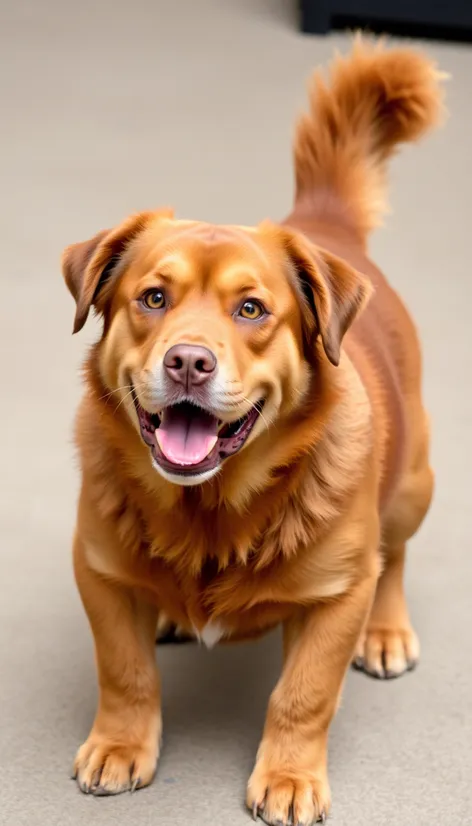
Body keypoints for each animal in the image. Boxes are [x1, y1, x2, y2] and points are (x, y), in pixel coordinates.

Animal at [60, 40, 440, 824]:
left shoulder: (338, 598)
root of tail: (324, 226)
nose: (188, 361)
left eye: (251, 310)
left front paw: (290, 775)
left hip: (415, 486)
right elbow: (124, 671)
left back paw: (388, 630)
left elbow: (303, 696)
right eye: (153, 297)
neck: (206, 513)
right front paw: (121, 743)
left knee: (395, 558)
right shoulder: (98, 572)